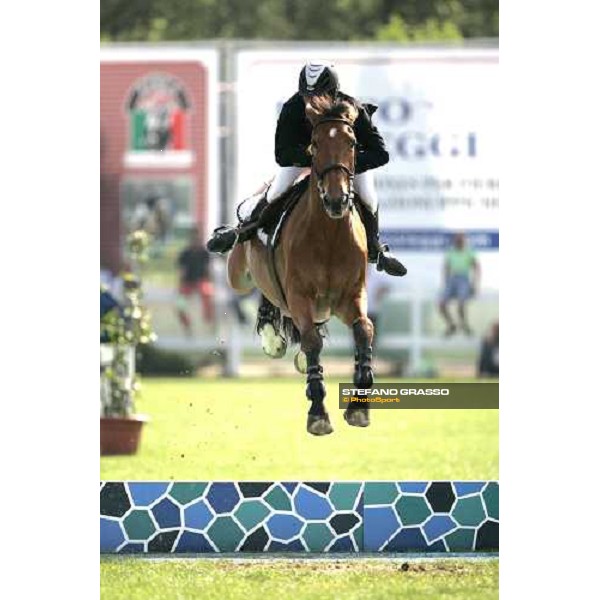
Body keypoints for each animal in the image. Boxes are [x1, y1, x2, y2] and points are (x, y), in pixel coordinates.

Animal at [227, 97, 372, 436]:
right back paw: (271, 337)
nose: (336, 200)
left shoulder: (352, 296)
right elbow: (311, 341)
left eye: (352, 143)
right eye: (314, 144)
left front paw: (359, 406)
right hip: (239, 274)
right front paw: (318, 412)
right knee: (257, 288)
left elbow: (364, 330)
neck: (330, 233)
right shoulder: (300, 296)